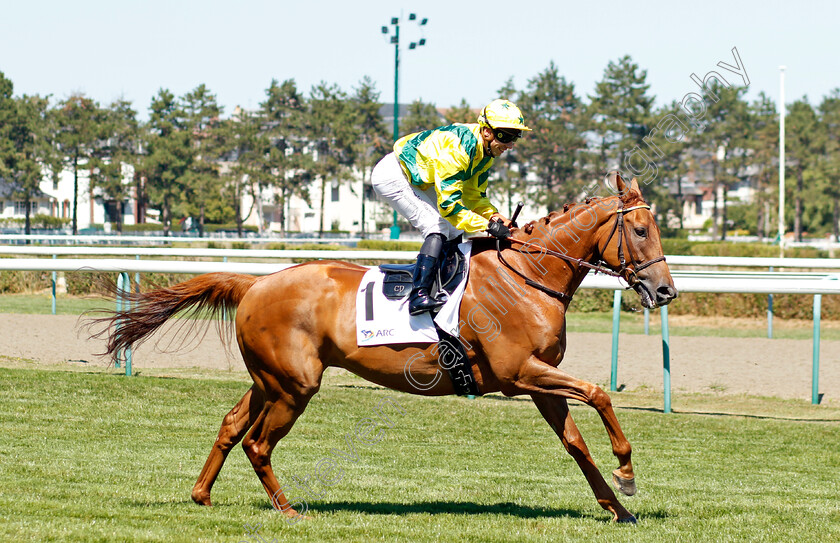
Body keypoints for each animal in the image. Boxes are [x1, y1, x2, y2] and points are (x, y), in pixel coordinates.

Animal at [93, 174, 676, 524]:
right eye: (640, 229)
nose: (666, 291)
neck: (528, 277)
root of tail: (255, 283)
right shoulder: (519, 373)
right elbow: (599, 393)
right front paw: (627, 474)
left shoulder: (537, 380)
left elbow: (575, 442)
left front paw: (616, 506)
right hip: (295, 385)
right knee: (258, 443)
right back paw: (289, 511)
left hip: (269, 380)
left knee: (233, 425)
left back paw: (202, 494)